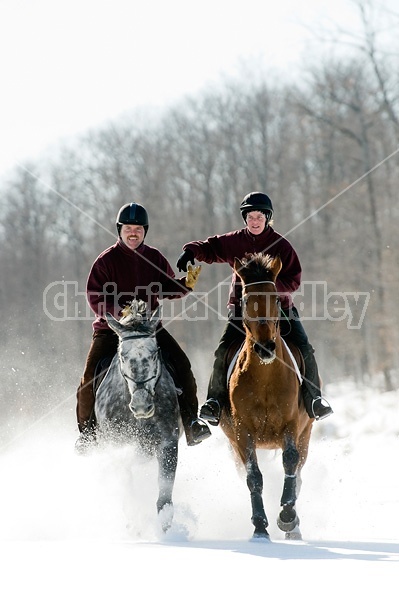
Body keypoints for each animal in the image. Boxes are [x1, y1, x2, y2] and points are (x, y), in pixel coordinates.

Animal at [94, 298, 182, 528]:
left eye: (154, 354)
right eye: (123, 357)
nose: (142, 405)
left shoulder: (168, 444)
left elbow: (164, 499)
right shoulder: (117, 444)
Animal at [220, 251, 314, 540]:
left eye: (276, 298)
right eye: (246, 300)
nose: (265, 348)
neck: (264, 379)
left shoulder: (292, 425)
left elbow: (290, 463)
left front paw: (287, 517)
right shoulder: (242, 433)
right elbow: (253, 476)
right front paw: (260, 527)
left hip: (306, 434)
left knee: (300, 472)